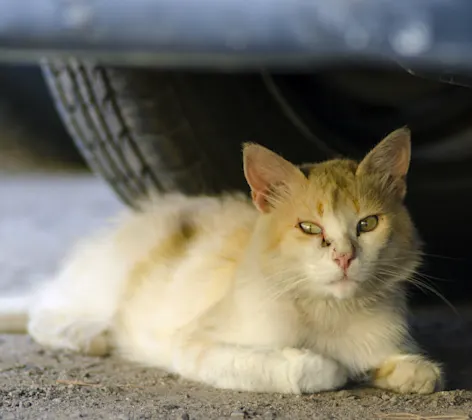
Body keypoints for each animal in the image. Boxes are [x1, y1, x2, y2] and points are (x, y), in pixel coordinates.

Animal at [0, 127, 442, 394]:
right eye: (309, 228)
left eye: (367, 224)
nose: (345, 257)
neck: (330, 311)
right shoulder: (196, 344)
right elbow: (314, 368)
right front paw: (334, 367)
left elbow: (423, 372)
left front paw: (401, 370)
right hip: (106, 281)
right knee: (44, 309)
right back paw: (90, 334)